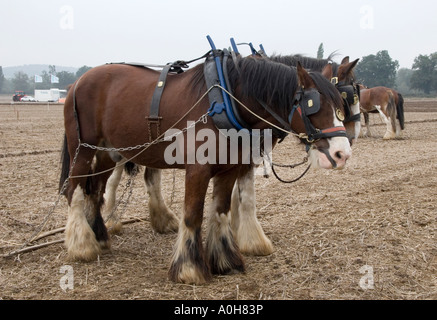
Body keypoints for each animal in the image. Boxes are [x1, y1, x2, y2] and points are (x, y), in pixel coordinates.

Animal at [58, 48, 350, 284]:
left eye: (341, 103)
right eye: (312, 105)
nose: (342, 153)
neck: (227, 100)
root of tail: (77, 82)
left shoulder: (231, 167)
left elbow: (221, 210)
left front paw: (225, 260)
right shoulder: (198, 169)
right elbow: (193, 215)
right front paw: (189, 269)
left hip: (109, 151)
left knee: (95, 189)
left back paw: (100, 236)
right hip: (82, 149)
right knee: (74, 190)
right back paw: (82, 244)